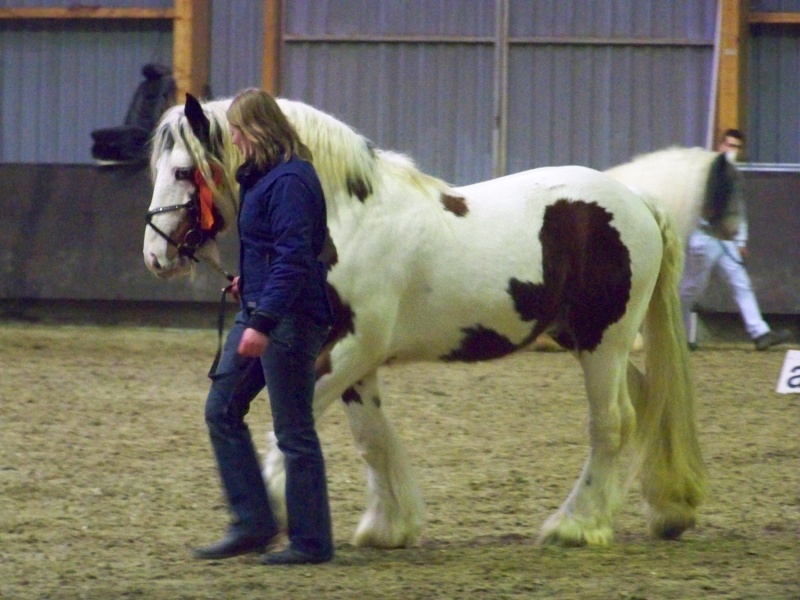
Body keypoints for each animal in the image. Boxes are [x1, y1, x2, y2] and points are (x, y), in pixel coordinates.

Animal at [144, 96, 708, 552]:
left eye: (181, 172)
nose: (155, 255)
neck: (347, 217)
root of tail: (638, 202)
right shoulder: (356, 361)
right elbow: (372, 438)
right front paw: (389, 526)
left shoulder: (349, 350)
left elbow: (294, 431)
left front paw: (273, 515)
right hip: (589, 341)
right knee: (649, 403)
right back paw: (670, 508)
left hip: (603, 343)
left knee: (612, 423)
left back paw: (576, 524)